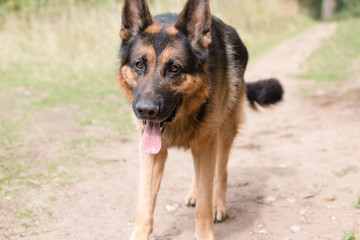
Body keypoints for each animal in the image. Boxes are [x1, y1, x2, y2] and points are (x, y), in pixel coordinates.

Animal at [118, 0, 284, 238]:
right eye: (139, 65)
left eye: (174, 68)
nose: (145, 111)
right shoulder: (153, 154)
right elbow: (145, 205)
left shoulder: (207, 144)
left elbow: (204, 204)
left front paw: (206, 229)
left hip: (224, 132)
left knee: (221, 171)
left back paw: (219, 205)